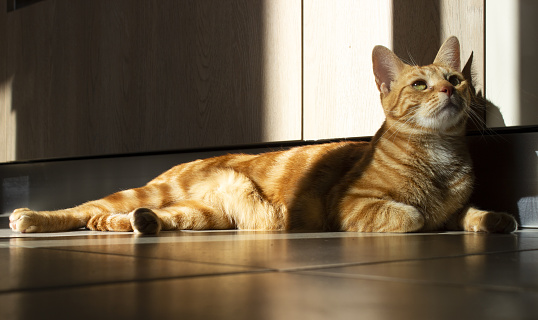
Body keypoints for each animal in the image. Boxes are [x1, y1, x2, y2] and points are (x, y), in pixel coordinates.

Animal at [8, 37, 516, 235]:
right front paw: (423, 217)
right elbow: (410, 215)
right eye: (420, 85)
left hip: (205, 216)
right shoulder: (349, 204)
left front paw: (495, 219)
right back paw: (30, 218)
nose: (449, 89)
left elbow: (476, 214)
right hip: (150, 192)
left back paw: (132, 224)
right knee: (81, 208)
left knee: (153, 218)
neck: (440, 155)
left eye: (456, 78)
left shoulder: (459, 206)